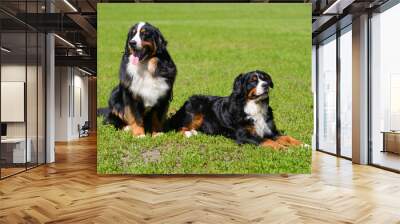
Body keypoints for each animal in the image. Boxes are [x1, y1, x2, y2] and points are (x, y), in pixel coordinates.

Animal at [167, 70, 302, 149]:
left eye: (265, 79)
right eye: (253, 80)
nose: (266, 85)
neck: (255, 106)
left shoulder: (271, 131)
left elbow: (287, 137)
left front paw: (302, 144)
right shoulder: (244, 135)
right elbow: (266, 141)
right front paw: (283, 148)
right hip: (195, 108)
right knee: (178, 127)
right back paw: (189, 133)